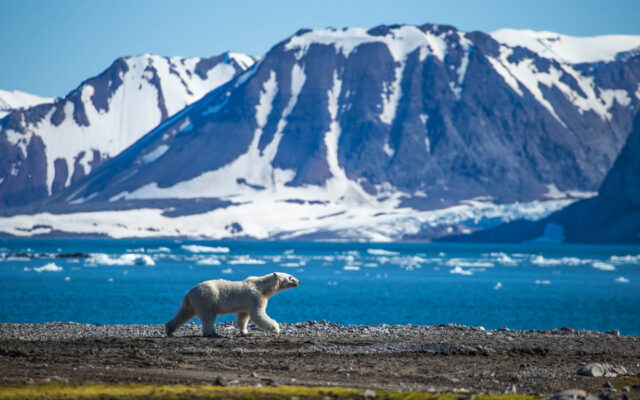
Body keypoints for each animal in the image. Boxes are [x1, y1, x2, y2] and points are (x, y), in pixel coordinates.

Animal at [165, 272, 300, 337]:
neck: (262, 287)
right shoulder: (256, 298)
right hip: (207, 299)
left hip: (192, 302)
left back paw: (170, 329)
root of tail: (189, 292)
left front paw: (245, 332)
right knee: (208, 316)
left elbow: (243, 316)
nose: (298, 281)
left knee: (183, 314)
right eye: (290, 277)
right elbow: (258, 315)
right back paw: (212, 333)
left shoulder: (246, 303)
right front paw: (276, 328)